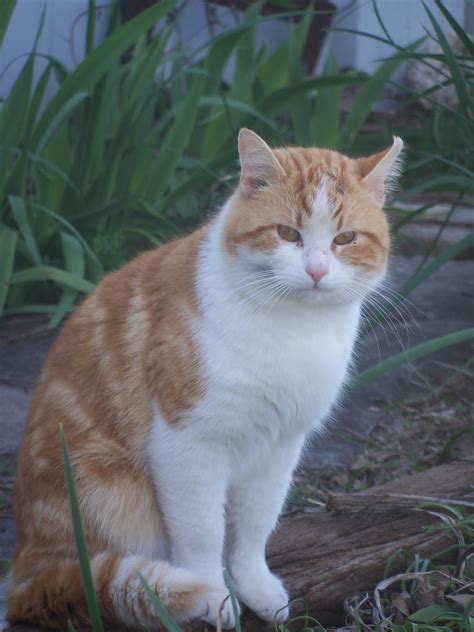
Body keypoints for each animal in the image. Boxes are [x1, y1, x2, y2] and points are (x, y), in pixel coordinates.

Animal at [7, 128, 402, 628]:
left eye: (346, 238)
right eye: (287, 234)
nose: (316, 270)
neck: (291, 328)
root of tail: (24, 569)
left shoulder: (280, 445)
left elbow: (255, 525)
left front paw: (253, 583)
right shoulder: (187, 447)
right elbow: (202, 535)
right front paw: (212, 593)